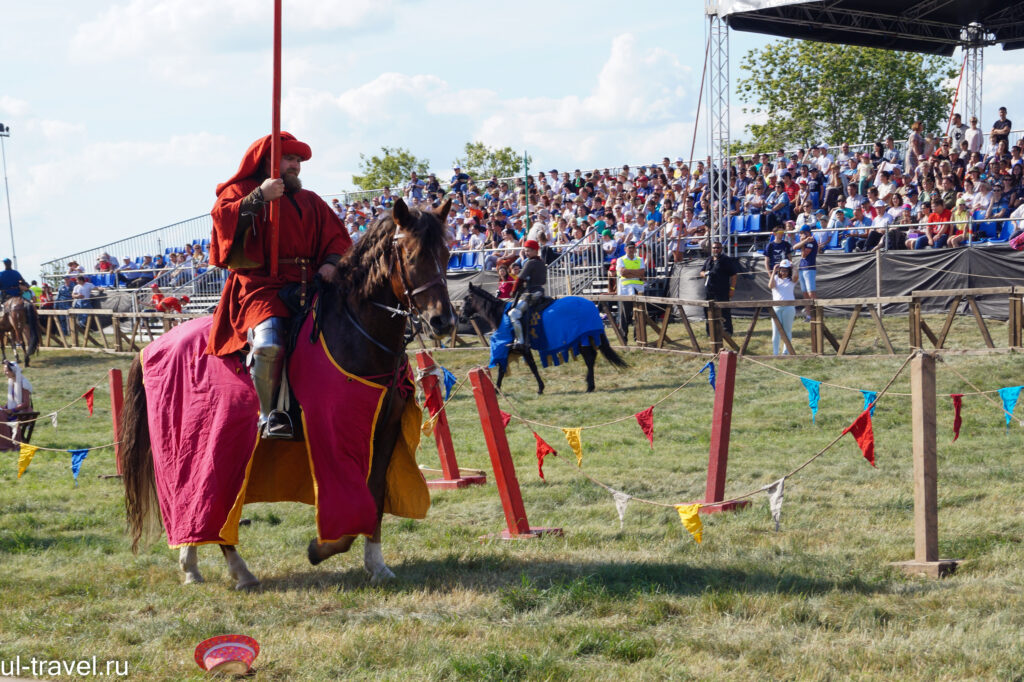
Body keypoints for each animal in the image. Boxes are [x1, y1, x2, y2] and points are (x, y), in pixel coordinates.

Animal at [121, 196, 454, 585]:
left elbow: (374, 496)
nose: (443, 321)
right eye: (413, 257)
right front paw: (322, 548)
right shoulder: (334, 432)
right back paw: (237, 570)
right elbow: (351, 499)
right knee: (203, 500)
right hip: (203, 444)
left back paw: (192, 564)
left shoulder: (384, 431)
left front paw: (376, 564)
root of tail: (151, 347)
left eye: (447, 254)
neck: (355, 332)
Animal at [462, 282, 622, 393]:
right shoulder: (522, 350)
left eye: (467, 298)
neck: (501, 314)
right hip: (582, 338)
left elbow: (518, 367)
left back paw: (589, 386)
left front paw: (497, 389)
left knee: (589, 358)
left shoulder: (517, 348)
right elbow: (528, 366)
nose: (462, 316)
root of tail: (591, 306)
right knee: (591, 357)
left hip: (581, 338)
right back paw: (590, 385)